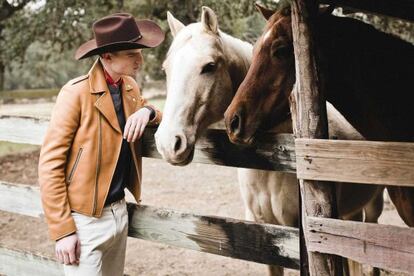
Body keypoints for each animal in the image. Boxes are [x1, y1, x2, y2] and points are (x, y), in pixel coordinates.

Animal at [155, 7, 384, 276]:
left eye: (209, 66)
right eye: (166, 69)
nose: (168, 143)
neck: (272, 166)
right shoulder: (266, 236)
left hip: (372, 209)